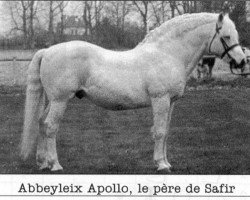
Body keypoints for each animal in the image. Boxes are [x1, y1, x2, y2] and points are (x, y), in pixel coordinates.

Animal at [20, 12, 245, 172]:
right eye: (226, 36)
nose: (242, 62)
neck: (167, 54)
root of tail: (48, 51)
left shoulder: (171, 102)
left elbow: (165, 132)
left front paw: (166, 162)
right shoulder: (160, 99)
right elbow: (159, 131)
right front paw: (161, 165)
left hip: (53, 100)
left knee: (41, 123)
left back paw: (43, 163)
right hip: (60, 100)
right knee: (50, 126)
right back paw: (55, 164)